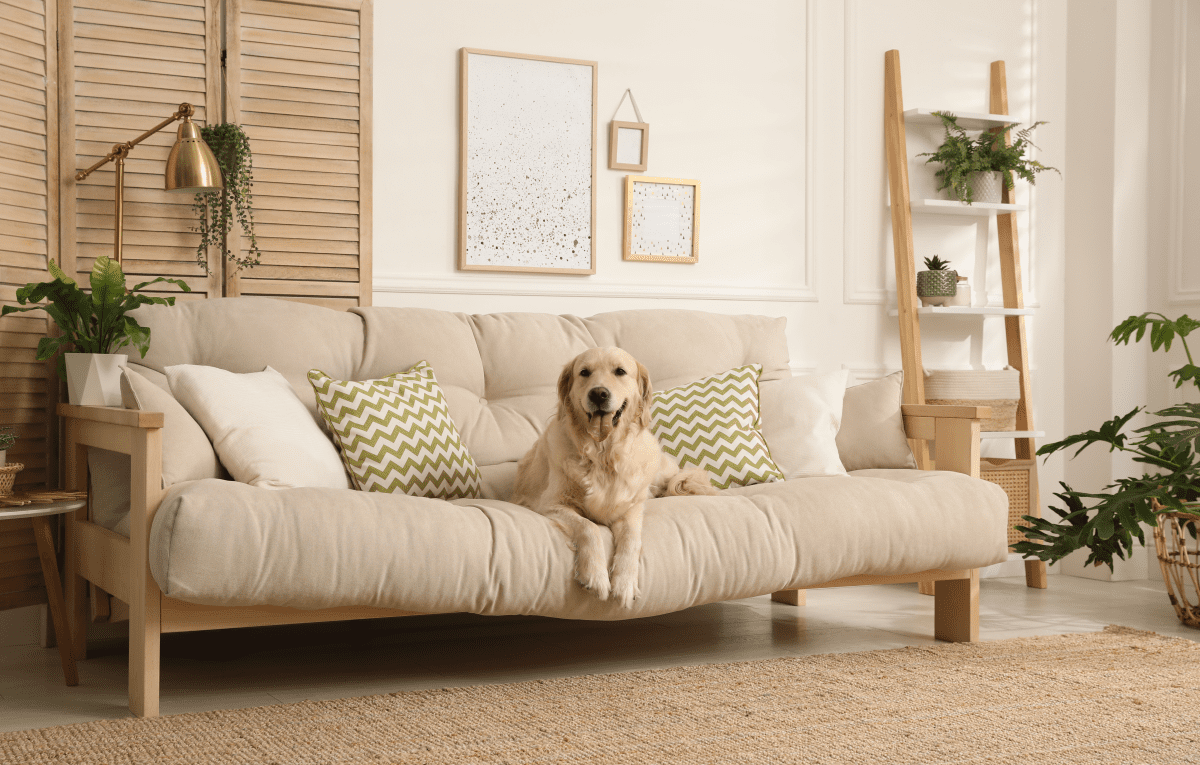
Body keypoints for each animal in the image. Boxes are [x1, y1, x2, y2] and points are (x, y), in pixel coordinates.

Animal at [511, 350, 715, 611]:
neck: (602, 456)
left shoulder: (631, 508)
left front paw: (624, 583)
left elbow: (631, 539)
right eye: (584, 372)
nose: (598, 393)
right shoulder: (551, 505)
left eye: (620, 371)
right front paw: (595, 576)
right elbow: (588, 528)